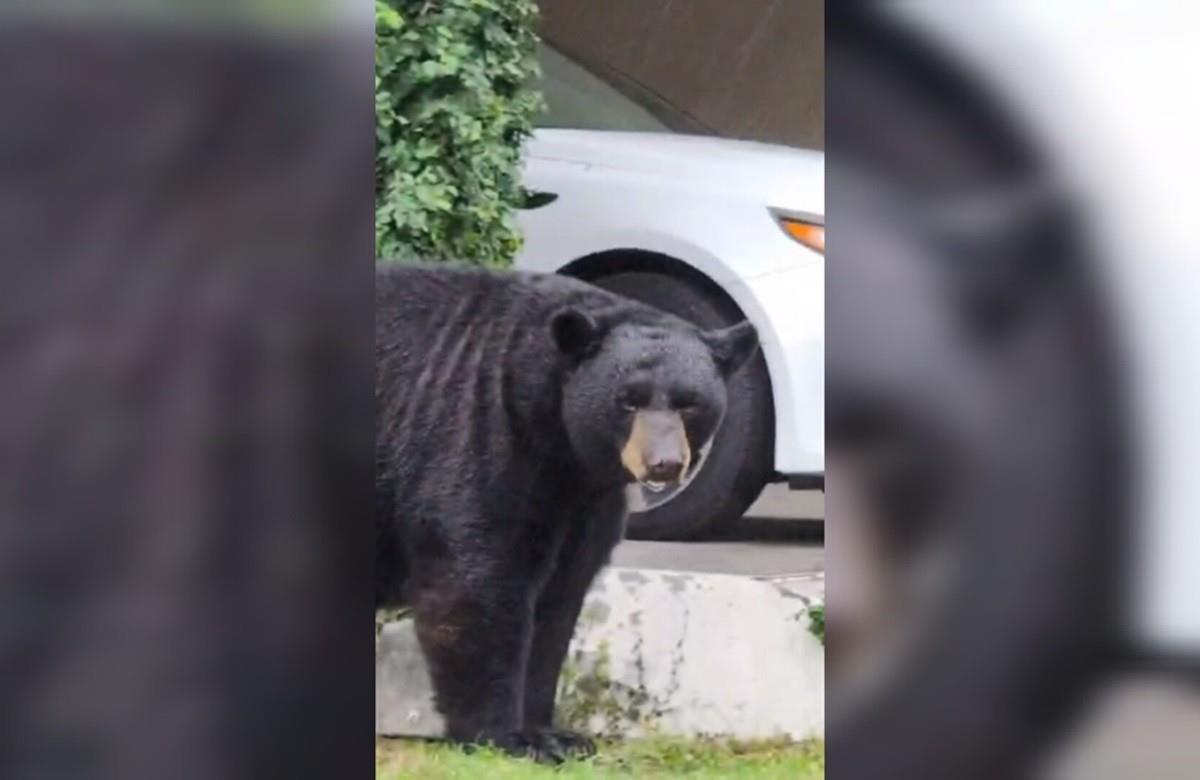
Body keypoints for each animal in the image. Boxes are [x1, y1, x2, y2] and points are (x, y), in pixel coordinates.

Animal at [374, 264, 758, 763]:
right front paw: (505, 736)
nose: (664, 464)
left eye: (689, 402)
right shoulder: (477, 431)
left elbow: (560, 596)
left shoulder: (584, 499)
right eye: (628, 399)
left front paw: (554, 733)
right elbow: (477, 580)